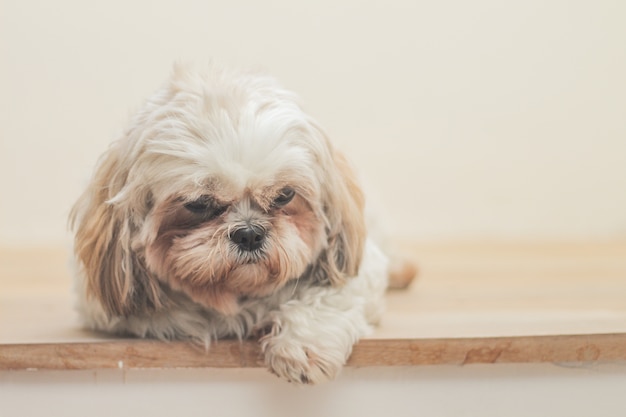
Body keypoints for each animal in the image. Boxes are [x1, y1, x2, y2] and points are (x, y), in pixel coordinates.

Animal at [69, 63, 414, 382]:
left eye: (285, 195)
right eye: (199, 203)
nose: (249, 234)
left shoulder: (358, 271)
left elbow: (328, 297)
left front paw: (301, 346)